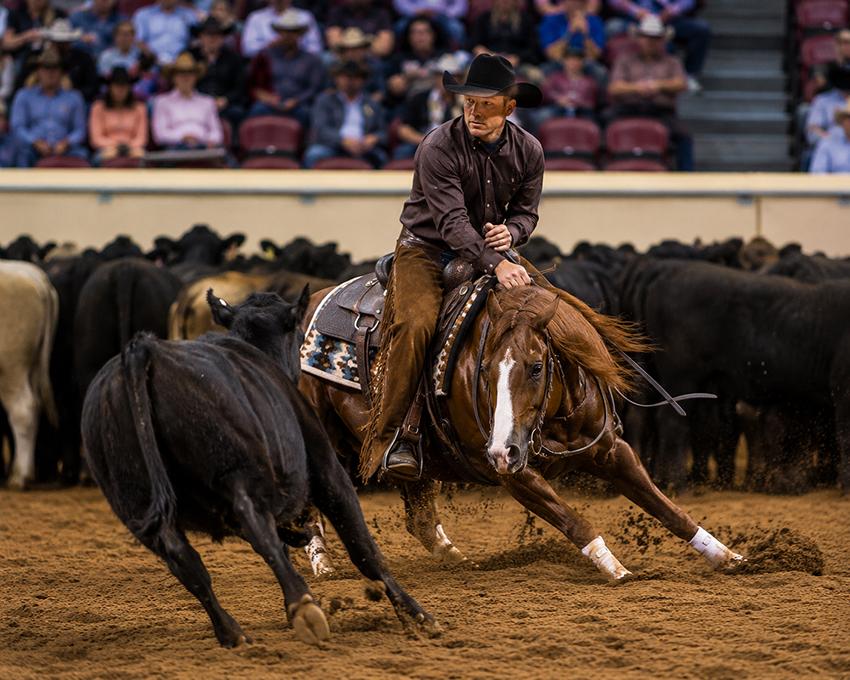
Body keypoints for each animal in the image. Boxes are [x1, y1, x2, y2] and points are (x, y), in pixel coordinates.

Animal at [81, 290, 436, 647]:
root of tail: (144, 351)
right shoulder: (326, 468)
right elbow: (361, 546)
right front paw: (414, 613)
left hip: (135, 503)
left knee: (185, 560)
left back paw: (231, 631)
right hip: (237, 473)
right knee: (256, 528)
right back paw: (303, 605)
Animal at [299, 280, 745, 579]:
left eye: (536, 366)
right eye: (483, 368)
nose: (503, 450)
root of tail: (309, 306)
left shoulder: (612, 451)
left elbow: (667, 509)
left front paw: (729, 556)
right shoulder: (514, 473)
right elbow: (574, 521)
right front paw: (615, 568)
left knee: (421, 518)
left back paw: (459, 560)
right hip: (319, 437)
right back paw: (323, 565)